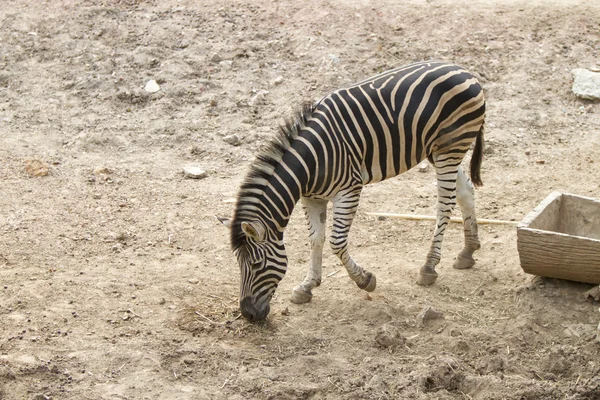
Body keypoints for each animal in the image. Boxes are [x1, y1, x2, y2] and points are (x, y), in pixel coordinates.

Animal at [223, 60, 486, 322]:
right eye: (238, 264)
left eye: (256, 265)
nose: (248, 314)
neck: (309, 164)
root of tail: (464, 70)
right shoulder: (312, 198)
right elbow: (316, 239)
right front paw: (307, 286)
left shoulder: (349, 190)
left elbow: (336, 243)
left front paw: (365, 280)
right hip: (438, 151)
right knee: (465, 191)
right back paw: (468, 251)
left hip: (450, 148)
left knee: (444, 205)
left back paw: (429, 267)